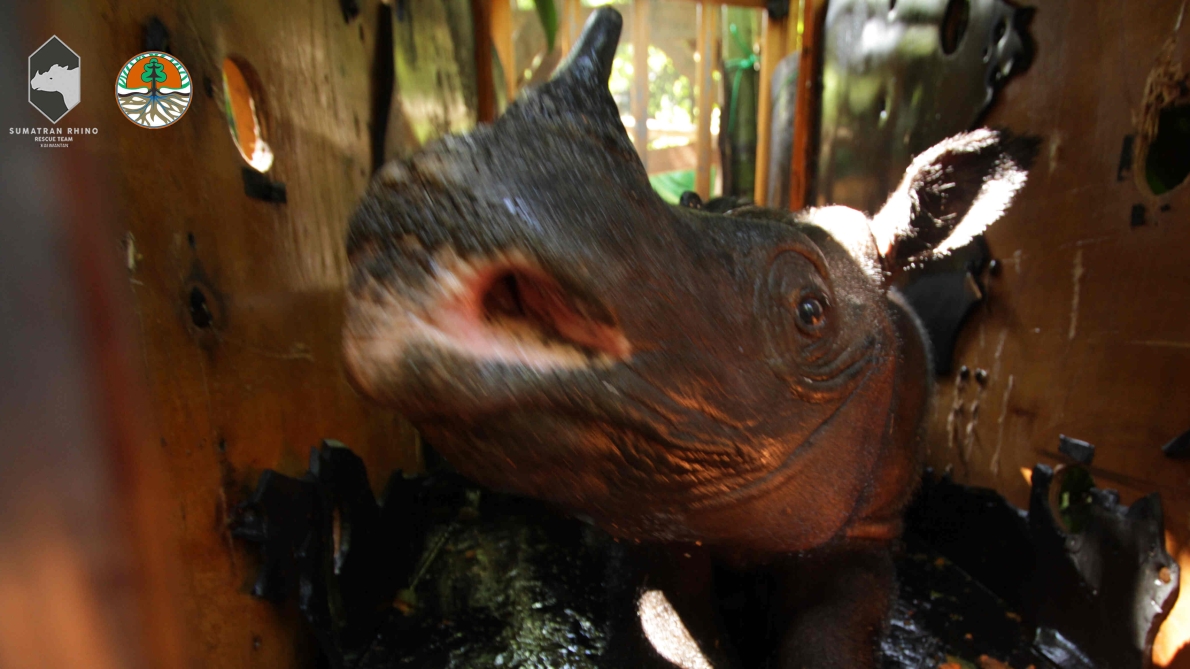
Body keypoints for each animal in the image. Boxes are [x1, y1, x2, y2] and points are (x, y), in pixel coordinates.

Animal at [342, 8, 1032, 667]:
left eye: (811, 312)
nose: (432, 206)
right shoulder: (651, 518)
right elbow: (669, 634)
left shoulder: (869, 527)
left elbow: (833, 634)